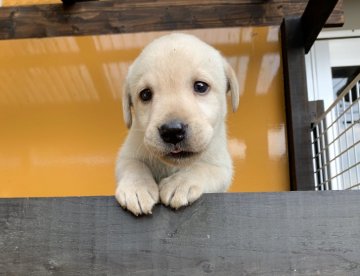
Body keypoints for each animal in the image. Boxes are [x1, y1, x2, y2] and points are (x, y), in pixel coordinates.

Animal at [116, 33, 239, 216]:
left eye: (200, 86)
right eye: (145, 94)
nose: (172, 131)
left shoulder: (221, 166)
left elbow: (201, 167)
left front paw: (180, 183)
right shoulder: (128, 153)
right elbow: (134, 165)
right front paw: (137, 188)